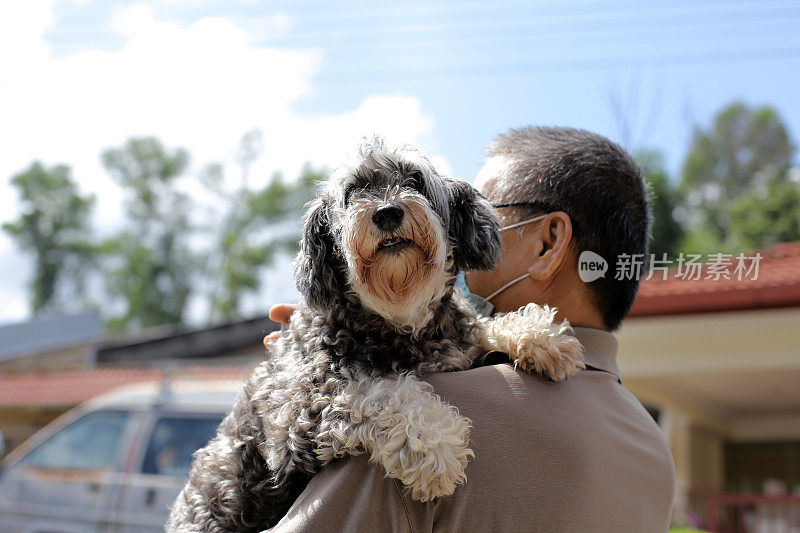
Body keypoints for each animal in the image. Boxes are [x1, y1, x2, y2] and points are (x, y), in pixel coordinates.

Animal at [167, 138, 580, 532]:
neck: (400, 323)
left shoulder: (453, 339)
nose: (386, 212)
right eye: (352, 192)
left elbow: (479, 327)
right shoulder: (295, 410)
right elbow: (379, 391)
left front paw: (543, 336)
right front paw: (435, 448)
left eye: (414, 180)